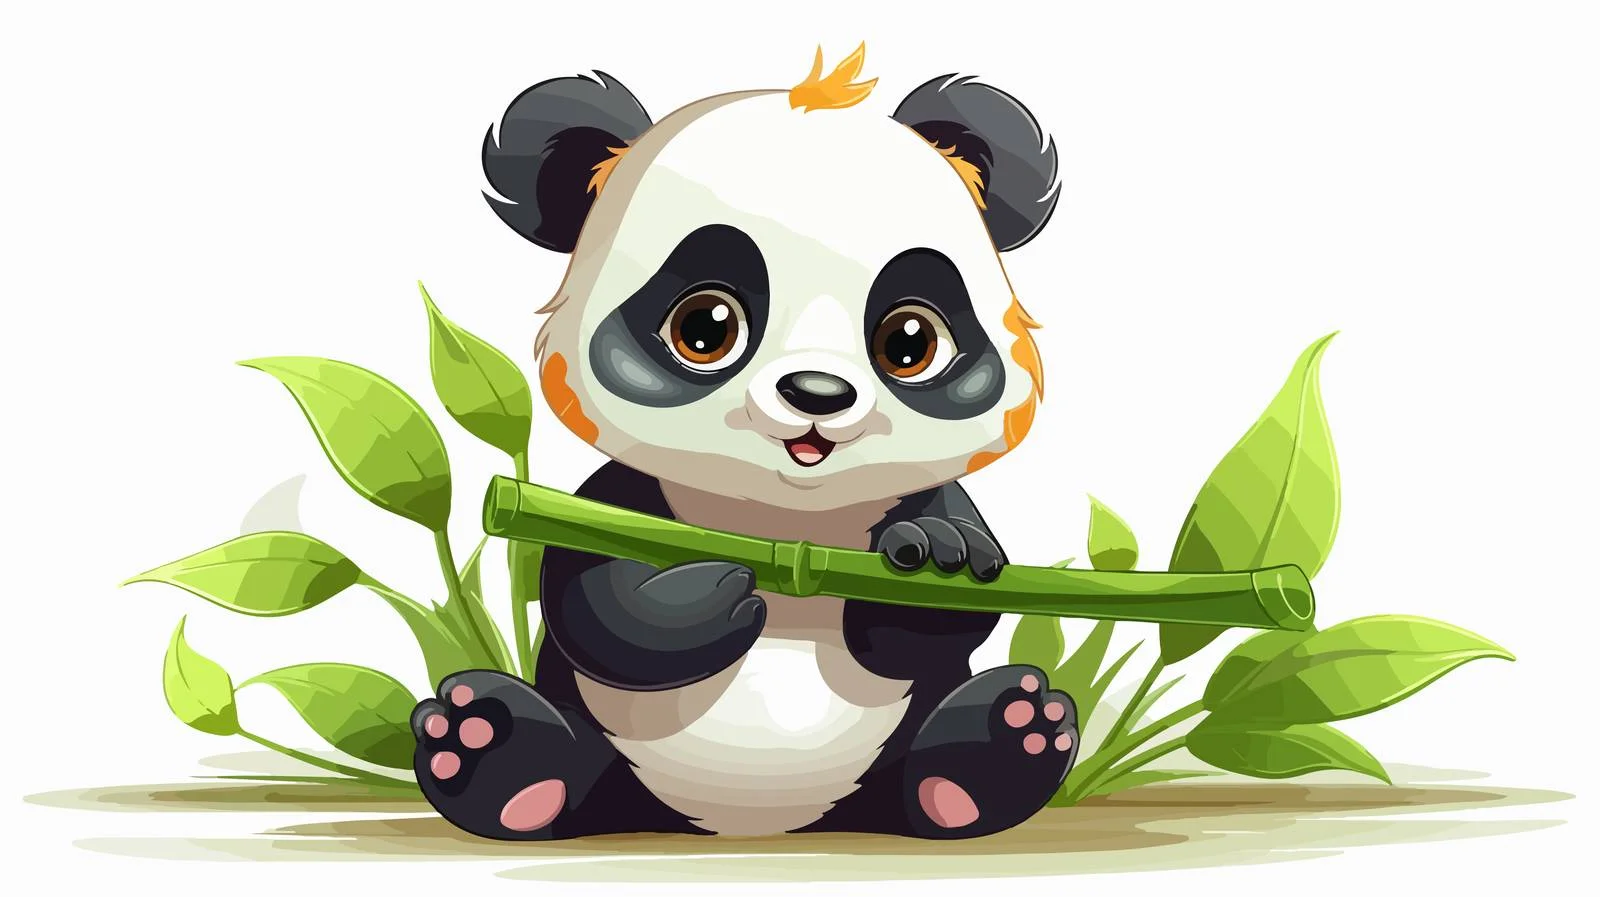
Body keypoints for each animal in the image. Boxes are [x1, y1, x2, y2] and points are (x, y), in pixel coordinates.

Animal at [411, 47, 1078, 841]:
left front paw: (938, 553)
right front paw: (721, 593)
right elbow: (588, 601)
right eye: (705, 328)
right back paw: (488, 744)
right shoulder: (611, 501)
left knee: (929, 770)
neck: (784, 523)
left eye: (910, 341)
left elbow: (946, 604)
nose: (818, 394)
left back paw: (1005, 738)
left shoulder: (925, 496)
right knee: (563, 768)